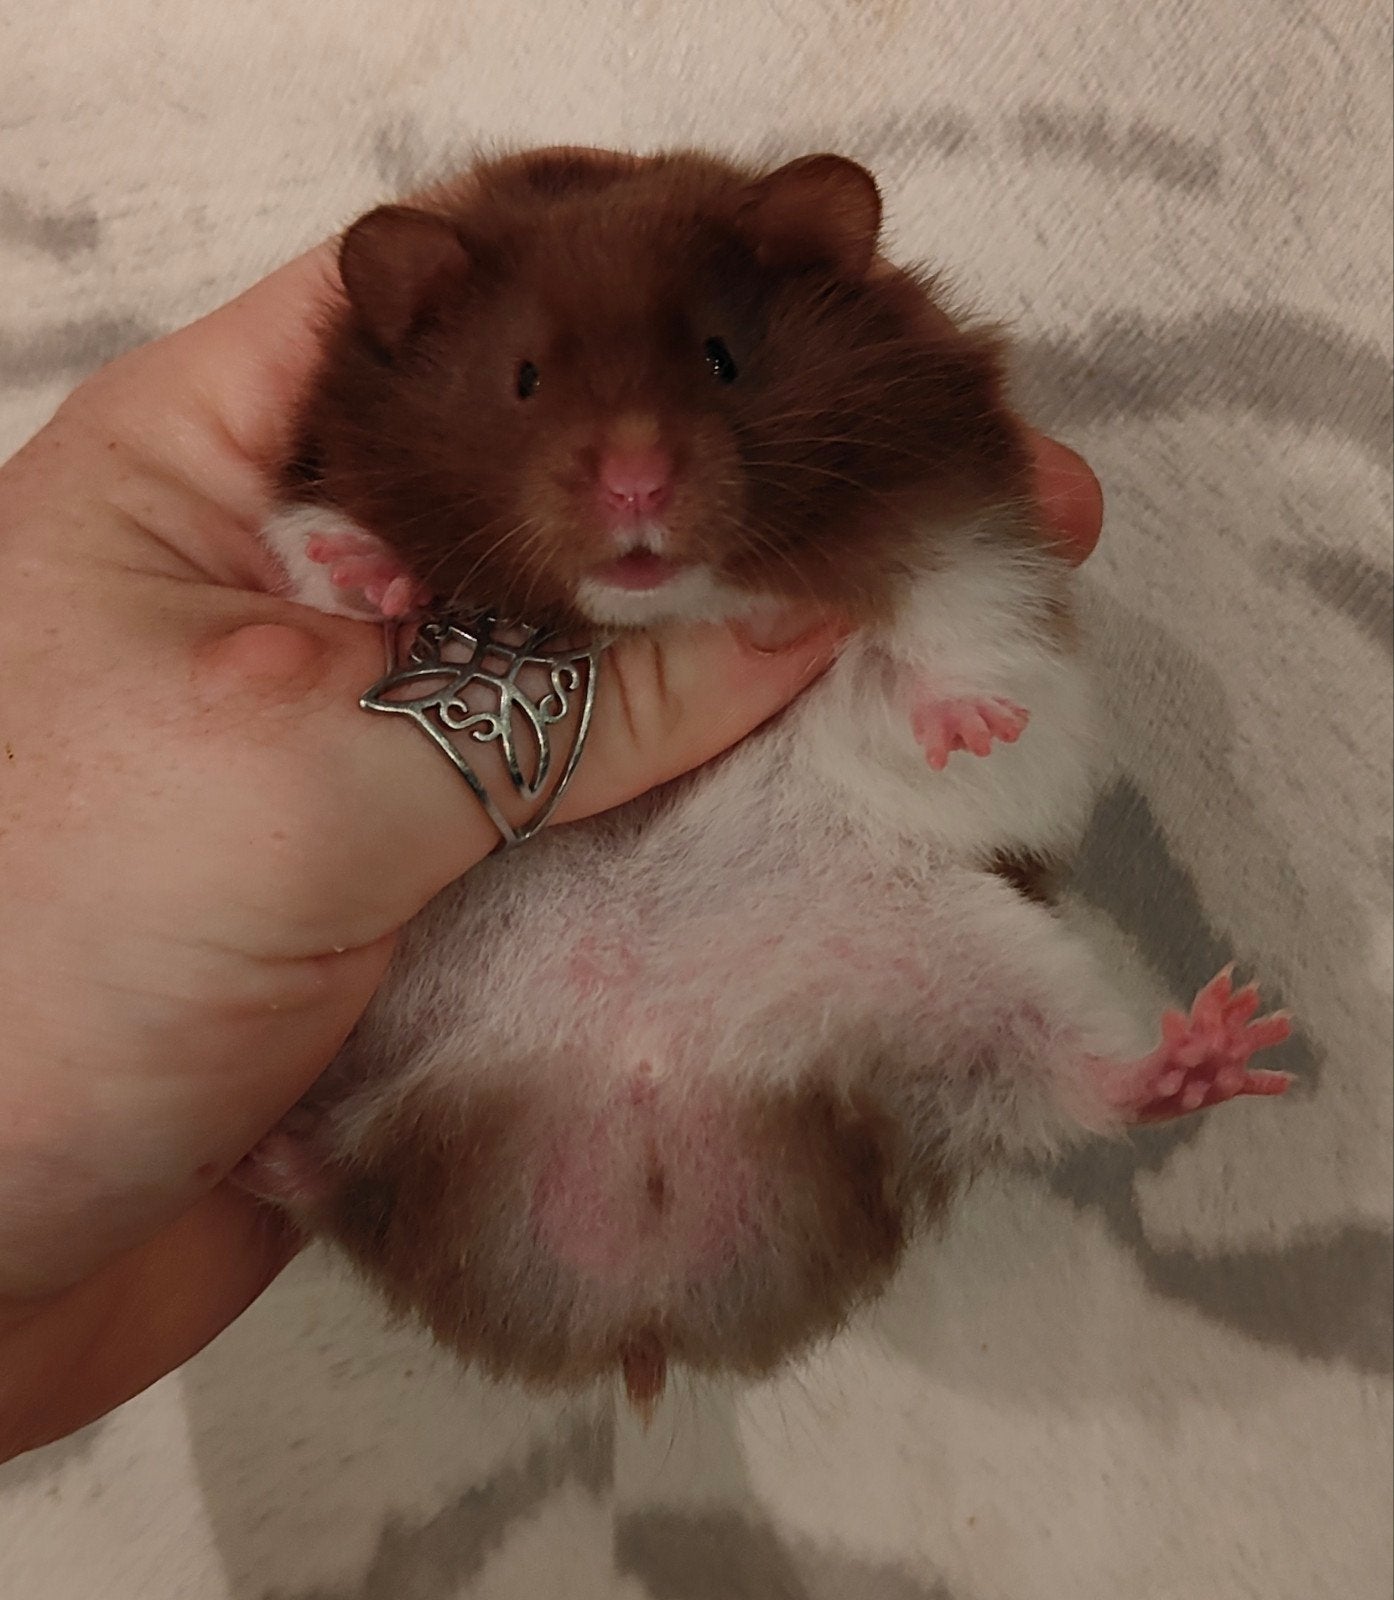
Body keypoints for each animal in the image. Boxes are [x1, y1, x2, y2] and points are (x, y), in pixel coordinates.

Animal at [249, 146, 1291, 1413]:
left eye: (719, 358)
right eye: (523, 378)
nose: (637, 486)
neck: (657, 613)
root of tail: (641, 1290)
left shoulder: (976, 580)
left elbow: (932, 671)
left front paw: (967, 725)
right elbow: (318, 560)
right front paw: (378, 570)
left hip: (971, 968)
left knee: (1069, 1083)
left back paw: (1219, 1044)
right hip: (368, 1035)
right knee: (352, 1173)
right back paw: (266, 1156)